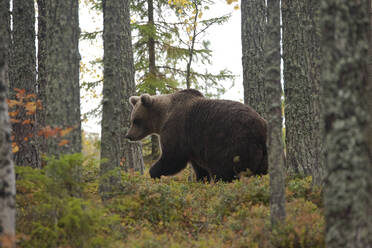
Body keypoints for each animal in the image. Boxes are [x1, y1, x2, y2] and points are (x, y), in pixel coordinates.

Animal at [125, 88, 268, 181]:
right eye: (132, 120)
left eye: (136, 120)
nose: (129, 136)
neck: (162, 118)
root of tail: (261, 128)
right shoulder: (193, 146)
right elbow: (199, 168)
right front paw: (201, 180)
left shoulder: (177, 129)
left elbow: (172, 157)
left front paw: (153, 172)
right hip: (264, 153)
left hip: (233, 143)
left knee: (224, 171)